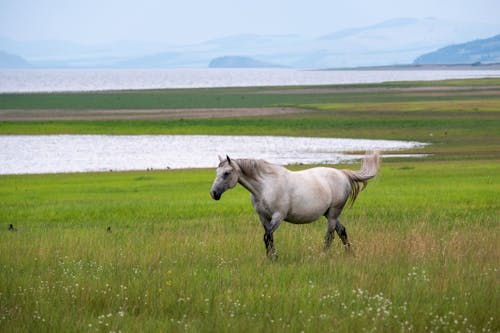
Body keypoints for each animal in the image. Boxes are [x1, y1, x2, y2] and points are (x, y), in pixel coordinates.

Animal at [209, 150, 380, 256]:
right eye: (217, 172)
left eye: (227, 173)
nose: (213, 193)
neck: (265, 186)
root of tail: (342, 174)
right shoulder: (263, 217)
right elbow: (269, 237)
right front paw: (271, 257)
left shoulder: (278, 216)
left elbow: (267, 236)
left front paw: (273, 258)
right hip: (329, 214)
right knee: (342, 231)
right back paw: (351, 254)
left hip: (333, 213)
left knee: (330, 236)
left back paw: (322, 256)